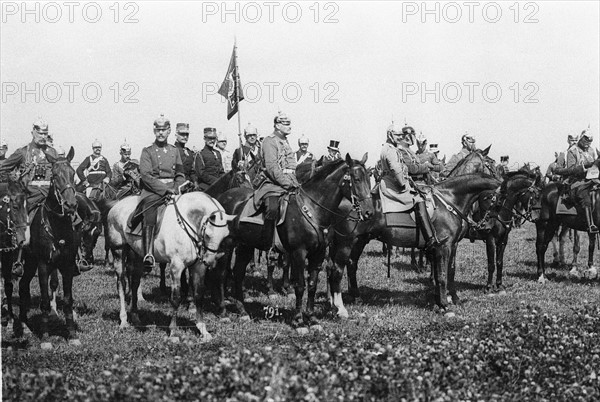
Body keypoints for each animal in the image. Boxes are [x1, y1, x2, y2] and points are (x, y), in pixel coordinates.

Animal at [16, 148, 79, 348]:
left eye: (73, 174)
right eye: (56, 175)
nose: (70, 205)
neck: (56, 226)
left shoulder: (67, 266)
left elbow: (67, 300)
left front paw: (72, 334)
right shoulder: (44, 265)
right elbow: (44, 301)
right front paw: (45, 338)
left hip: (30, 263)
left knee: (23, 286)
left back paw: (25, 325)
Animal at [108, 192, 234, 342]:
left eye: (225, 235)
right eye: (208, 234)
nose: (208, 261)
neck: (189, 223)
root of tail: (116, 205)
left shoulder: (198, 267)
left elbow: (198, 295)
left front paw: (203, 330)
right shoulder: (176, 267)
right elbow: (176, 298)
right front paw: (173, 332)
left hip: (137, 255)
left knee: (134, 283)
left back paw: (135, 317)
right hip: (119, 251)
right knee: (121, 283)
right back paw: (123, 321)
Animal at [216, 154, 376, 330]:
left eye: (369, 179)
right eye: (356, 179)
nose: (369, 212)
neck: (312, 209)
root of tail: (221, 198)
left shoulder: (318, 254)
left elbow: (312, 284)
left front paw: (312, 318)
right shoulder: (299, 253)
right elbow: (300, 285)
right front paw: (298, 320)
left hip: (245, 246)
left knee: (238, 273)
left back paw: (242, 311)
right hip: (227, 246)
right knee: (222, 274)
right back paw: (223, 311)